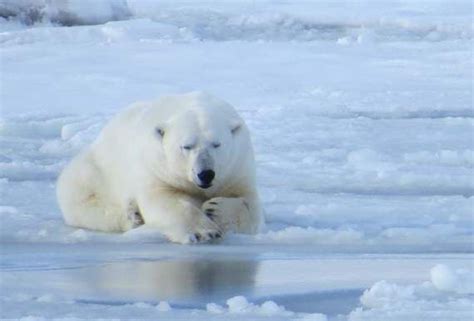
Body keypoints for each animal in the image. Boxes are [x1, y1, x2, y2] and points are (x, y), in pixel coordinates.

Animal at [57, 92, 262, 242]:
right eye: (186, 146)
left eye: (217, 144)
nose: (206, 174)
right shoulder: (157, 167)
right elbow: (162, 199)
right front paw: (204, 231)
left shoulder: (237, 166)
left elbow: (251, 204)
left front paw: (215, 209)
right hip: (96, 169)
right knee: (80, 198)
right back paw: (133, 216)